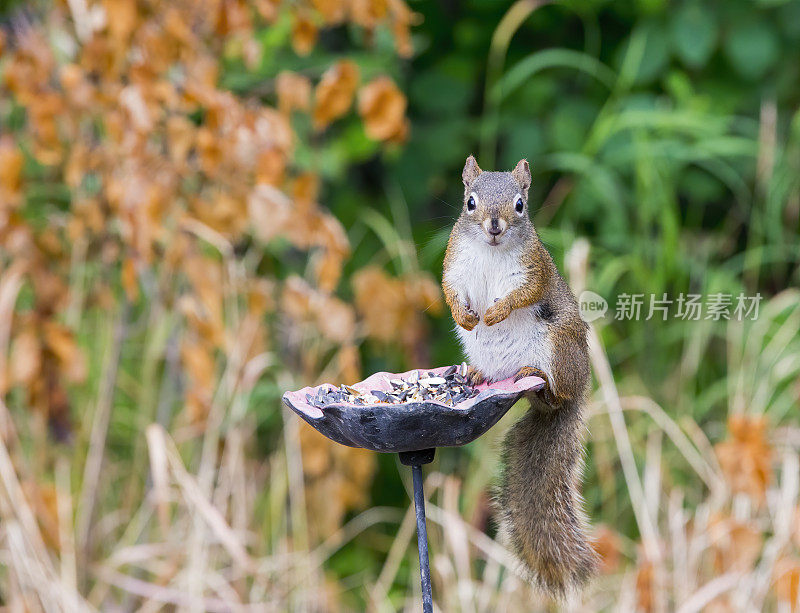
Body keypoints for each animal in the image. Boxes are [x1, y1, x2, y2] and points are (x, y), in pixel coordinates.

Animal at [440, 155, 596, 596]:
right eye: (470, 202)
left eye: (520, 205)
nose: (495, 225)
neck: (491, 252)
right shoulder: (454, 265)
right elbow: (449, 290)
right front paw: (466, 315)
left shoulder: (534, 269)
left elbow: (524, 294)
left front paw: (495, 313)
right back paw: (477, 376)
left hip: (558, 346)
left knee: (556, 393)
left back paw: (537, 378)